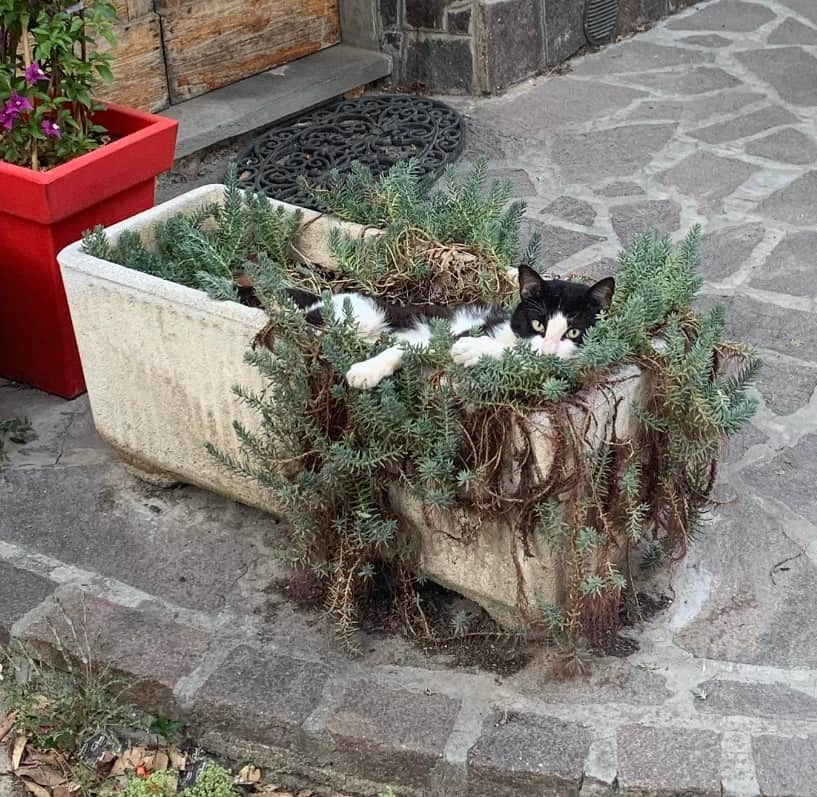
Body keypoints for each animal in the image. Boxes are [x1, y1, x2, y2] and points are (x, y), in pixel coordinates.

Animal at [292, 266, 612, 390]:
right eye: (538, 324)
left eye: (573, 333)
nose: (547, 351)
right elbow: (404, 348)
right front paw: (365, 371)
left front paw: (474, 350)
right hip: (360, 314)